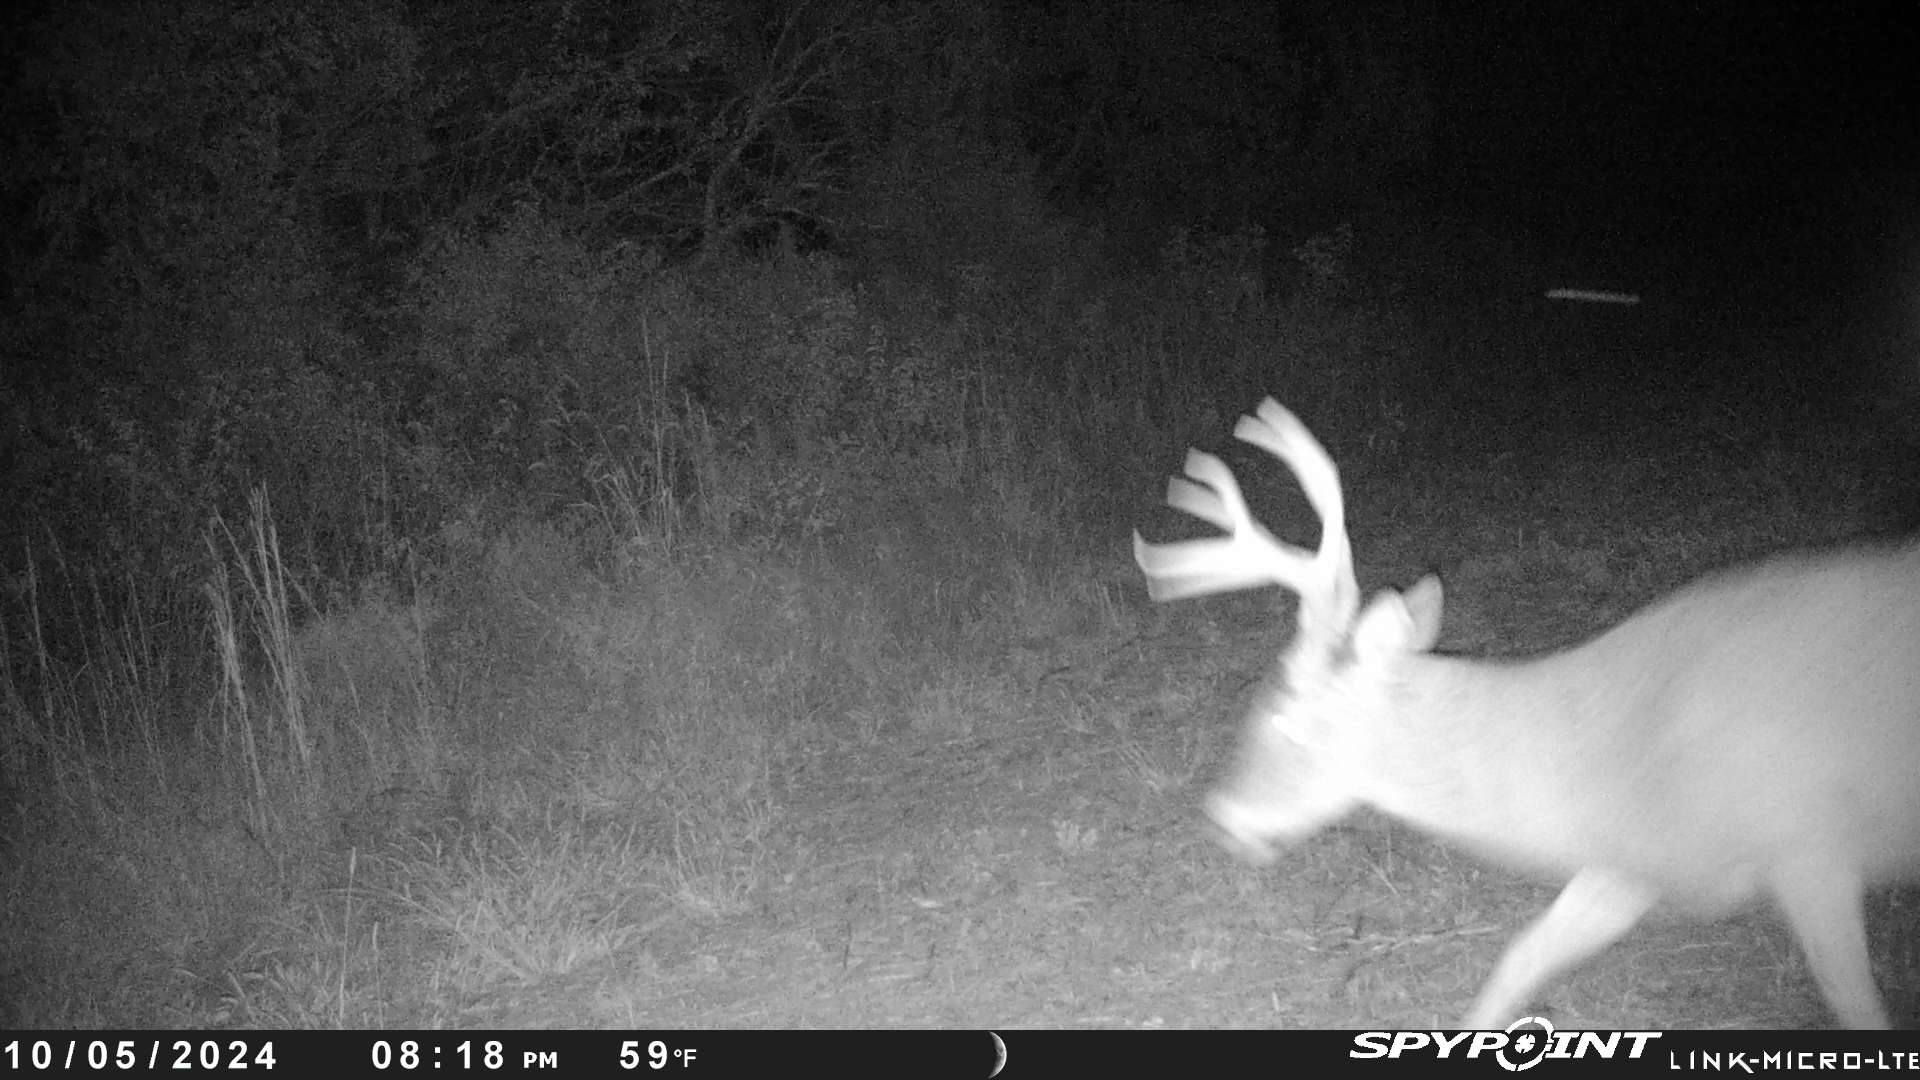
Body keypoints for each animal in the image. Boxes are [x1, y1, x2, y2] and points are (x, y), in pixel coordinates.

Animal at [1134, 398, 1920, 1029]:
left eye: (1285, 717)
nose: (1221, 818)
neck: (1626, 749)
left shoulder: (1812, 845)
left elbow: (1855, 1005)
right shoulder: (1634, 862)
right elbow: (1521, 959)